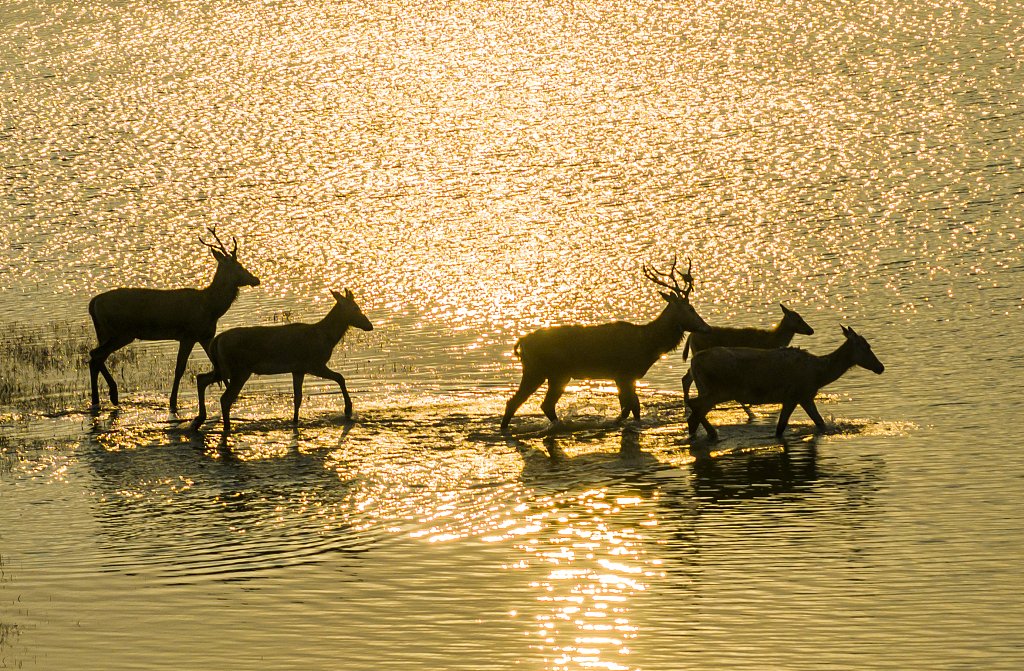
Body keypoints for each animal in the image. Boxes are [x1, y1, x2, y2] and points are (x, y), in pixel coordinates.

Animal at [87, 228, 260, 412]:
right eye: (239, 266)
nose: (256, 279)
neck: (210, 307)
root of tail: (93, 303)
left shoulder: (205, 336)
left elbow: (216, 364)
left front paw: (236, 396)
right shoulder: (188, 335)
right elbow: (179, 369)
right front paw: (173, 402)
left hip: (105, 333)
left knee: (96, 357)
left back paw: (100, 399)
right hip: (121, 332)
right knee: (96, 355)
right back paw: (111, 395)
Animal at [188, 289, 373, 434]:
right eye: (355, 308)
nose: (369, 325)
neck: (327, 338)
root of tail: (216, 341)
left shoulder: (298, 369)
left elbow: (298, 398)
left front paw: (295, 421)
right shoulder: (314, 363)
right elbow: (340, 377)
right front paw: (348, 409)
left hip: (224, 368)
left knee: (201, 378)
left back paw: (198, 420)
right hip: (239, 369)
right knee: (225, 398)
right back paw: (226, 427)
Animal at [500, 258, 711, 433]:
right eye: (689, 308)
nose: (706, 328)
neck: (648, 345)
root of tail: (521, 342)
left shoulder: (625, 377)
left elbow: (632, 408)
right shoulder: (623, 374)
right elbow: (630, 407)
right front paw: (615, 422)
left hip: (541, 372)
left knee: (521, 402)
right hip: (551, 372)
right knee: (538, 403)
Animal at [681, 303, 815, 419]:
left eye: (801, 317)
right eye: (798, 320)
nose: (811, 330)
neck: (773, 341)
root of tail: (690, 336)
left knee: (687, 378)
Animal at [685, 325, 884, 441]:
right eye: (866, 346)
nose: (881, 367)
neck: (819, 375)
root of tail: (694, 362)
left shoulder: (798, 397)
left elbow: (795, 427)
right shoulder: (799, 394)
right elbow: (811, 424)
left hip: (705, 387)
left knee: (694, 411)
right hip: (718, 390)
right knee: (695, 407)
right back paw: (709, 433)